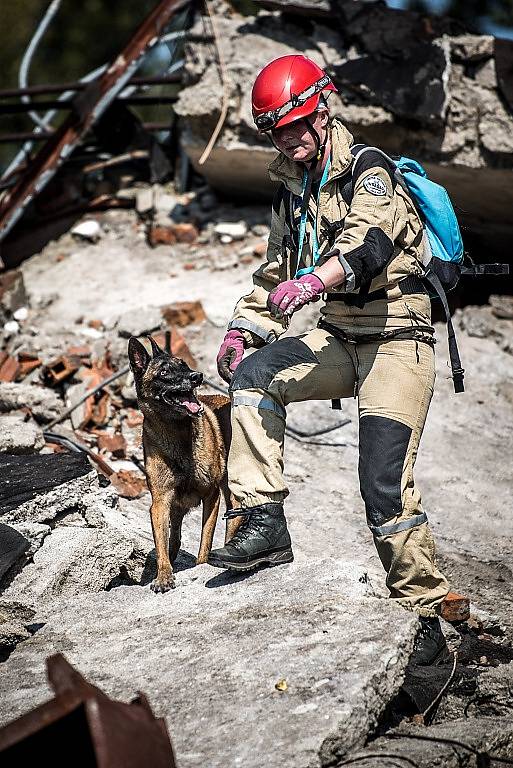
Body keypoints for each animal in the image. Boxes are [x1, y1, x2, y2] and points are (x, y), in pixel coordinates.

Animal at [128, 332, 240, 592]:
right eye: (164, 372)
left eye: (184, 365)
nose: (197, 376)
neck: (178, 433)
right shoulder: (159, 503)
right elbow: (161, 543)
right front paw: (163, 575)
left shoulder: (211, 496)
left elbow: (205, 543)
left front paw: (202, 565)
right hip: (175, 507)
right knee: (175, 536)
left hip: (231, 493)